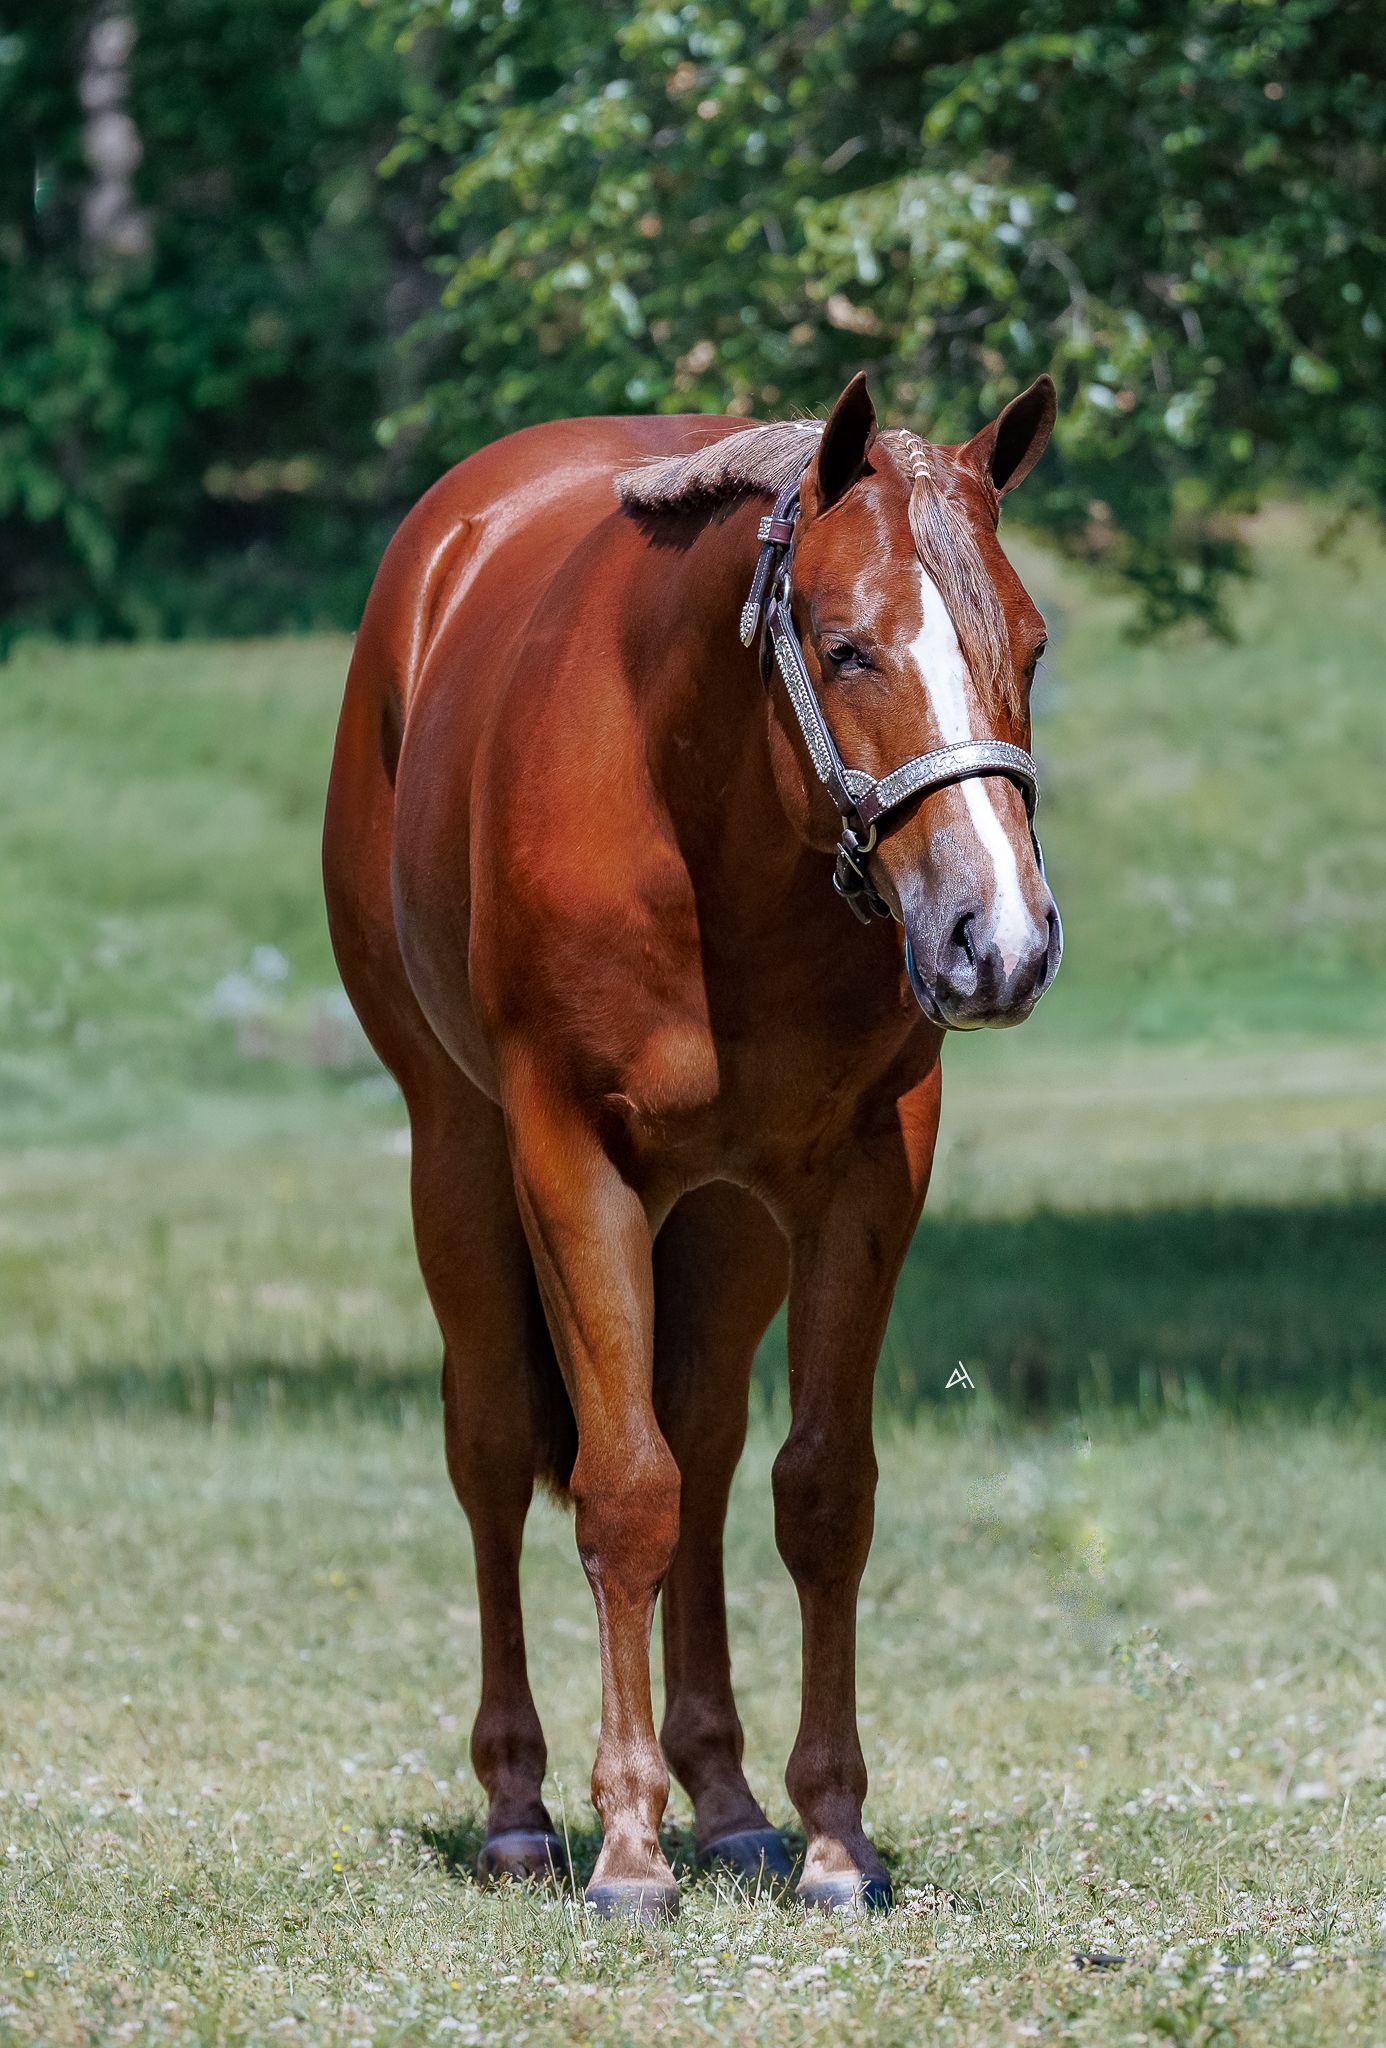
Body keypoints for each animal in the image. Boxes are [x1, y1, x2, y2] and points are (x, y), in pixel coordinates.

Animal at [323, 369, 1062, 1919]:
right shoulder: (570, 1160)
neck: (705, 828)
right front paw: (623, 1849)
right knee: (496, 1447)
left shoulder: (867, 1172)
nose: (1001, 941)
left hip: (721, 1218)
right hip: (457, 1155)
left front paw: (833, 1836)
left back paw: (727, 1805)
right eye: (846, 649)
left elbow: (818, 1490)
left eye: (1029, 642)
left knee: (711, 1447)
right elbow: (623, 1490)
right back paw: (521, 1808)